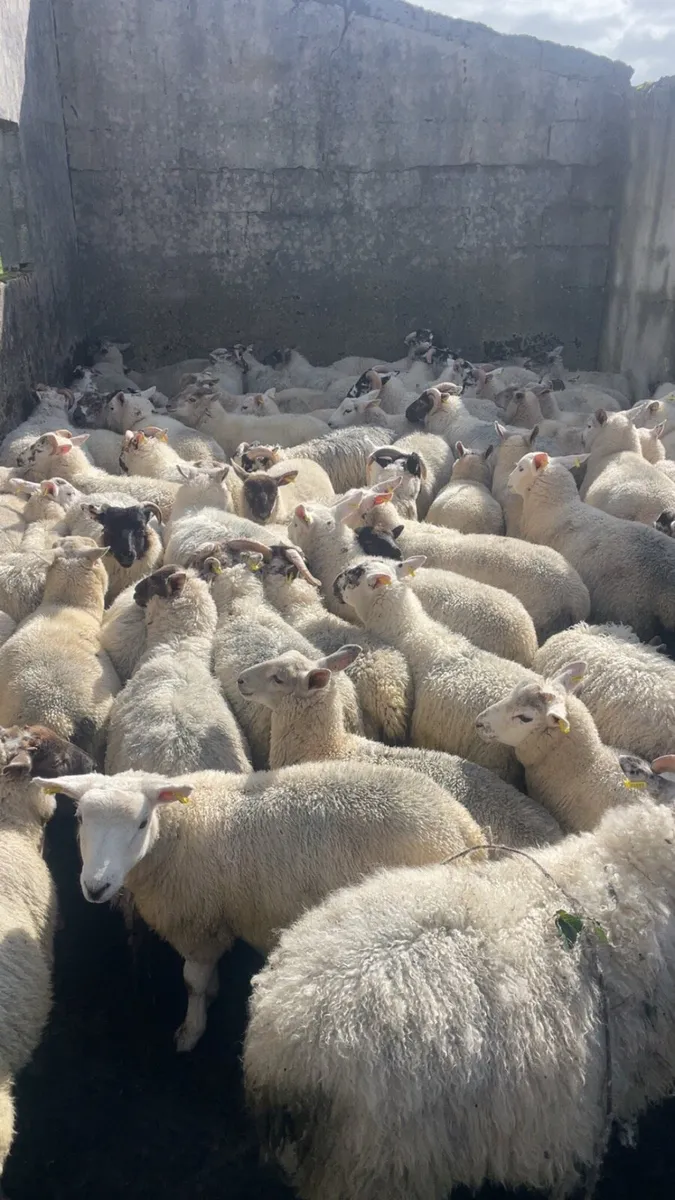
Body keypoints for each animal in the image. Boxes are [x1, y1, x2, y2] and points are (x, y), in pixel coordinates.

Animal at [51, 762, 484, 1052]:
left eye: (142, 823)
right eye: (79, 818)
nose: (95, 887)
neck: (179, 830)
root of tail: (464, 825)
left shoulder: (198, 921)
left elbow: (192, 983)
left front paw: (191, 1031)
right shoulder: (214, 919)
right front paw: (210, 998)